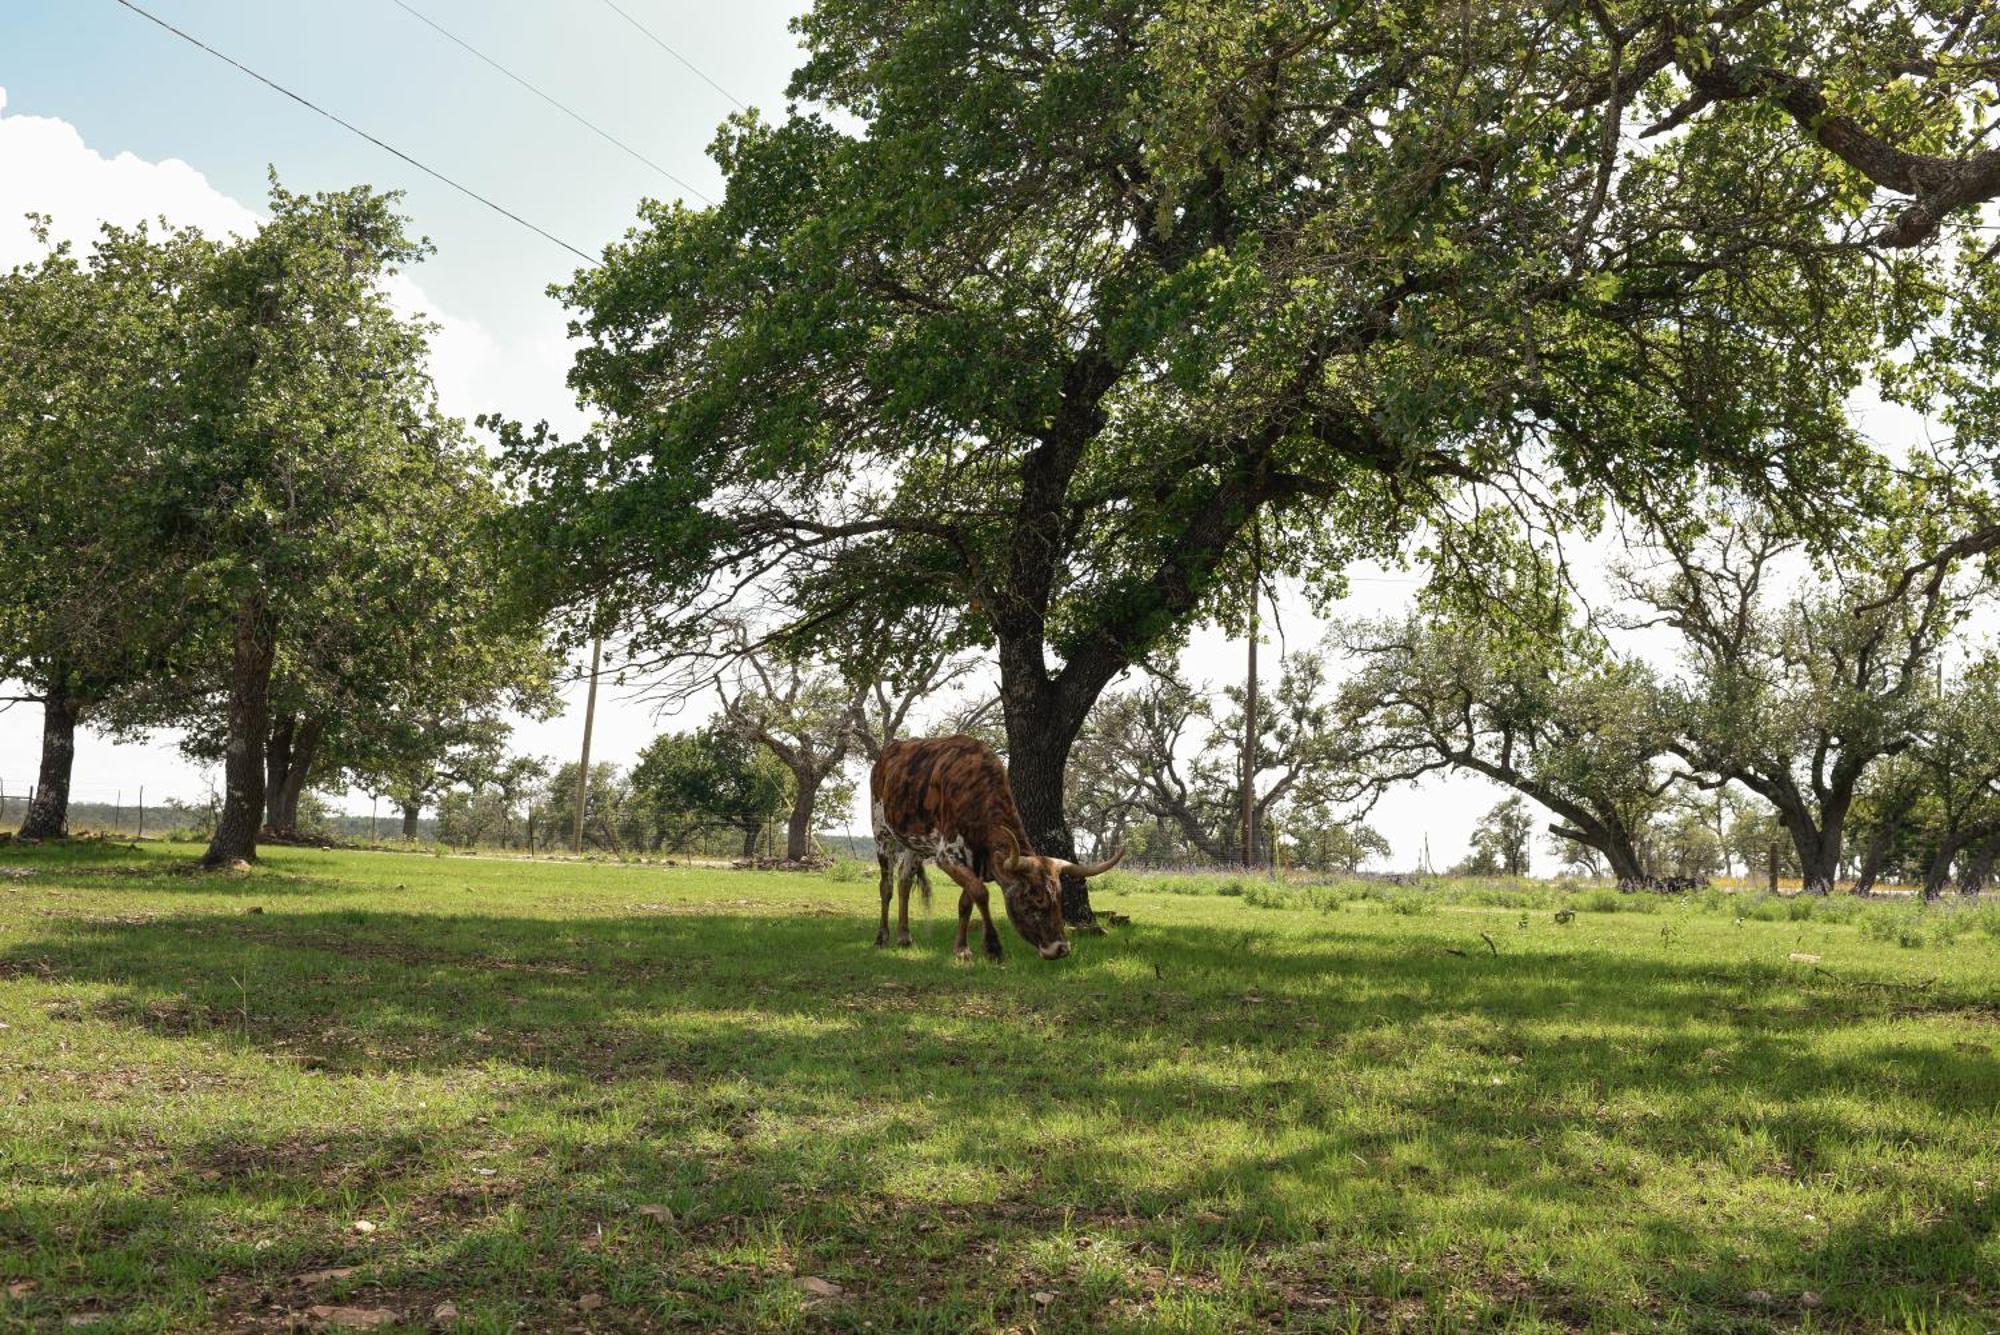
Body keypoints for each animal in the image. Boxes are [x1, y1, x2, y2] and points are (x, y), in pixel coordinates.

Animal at [872, 731, 1128, 959]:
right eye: (1033, 900)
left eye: (1059, 900)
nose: (1061, 949)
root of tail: (887, 753)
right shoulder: (946, 856)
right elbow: (981, 893)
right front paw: (992, 947)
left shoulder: (976, 862)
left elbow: (966, 901)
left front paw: (961, 948)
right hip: (882, 833)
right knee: (886, 886)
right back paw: (882, 937)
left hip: (914, 844)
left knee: (904, 881)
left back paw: (904, 936)